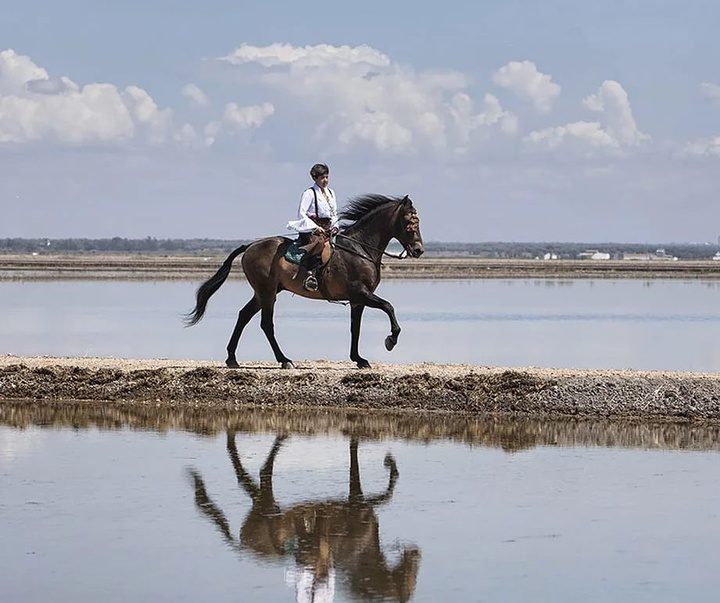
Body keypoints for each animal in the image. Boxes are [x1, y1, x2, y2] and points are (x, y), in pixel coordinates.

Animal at [183, 196, 424, 370]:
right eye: (408, 221)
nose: (418, 250)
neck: (360, 249)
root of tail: (250, 246)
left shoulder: (358, 300)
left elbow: (355, 328)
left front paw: (359, 359)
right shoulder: (361, 293)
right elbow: (388, 307)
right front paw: (391, 340)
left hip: (264, 292)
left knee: (244, 316)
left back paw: (232, 358)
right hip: (267, 292)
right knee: (266, 324)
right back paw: (284, 360)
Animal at [187, 434, 422, 603]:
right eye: (408, 583)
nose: (415, 554)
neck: (361, 549)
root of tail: (244, 545)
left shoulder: (358, 503)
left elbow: (383, 492)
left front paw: (390, 464)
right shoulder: (357, 502)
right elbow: (365, 470)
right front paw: (390, 463)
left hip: (264, 507)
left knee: (248, 476)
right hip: (268, 506)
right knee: (261, 473)